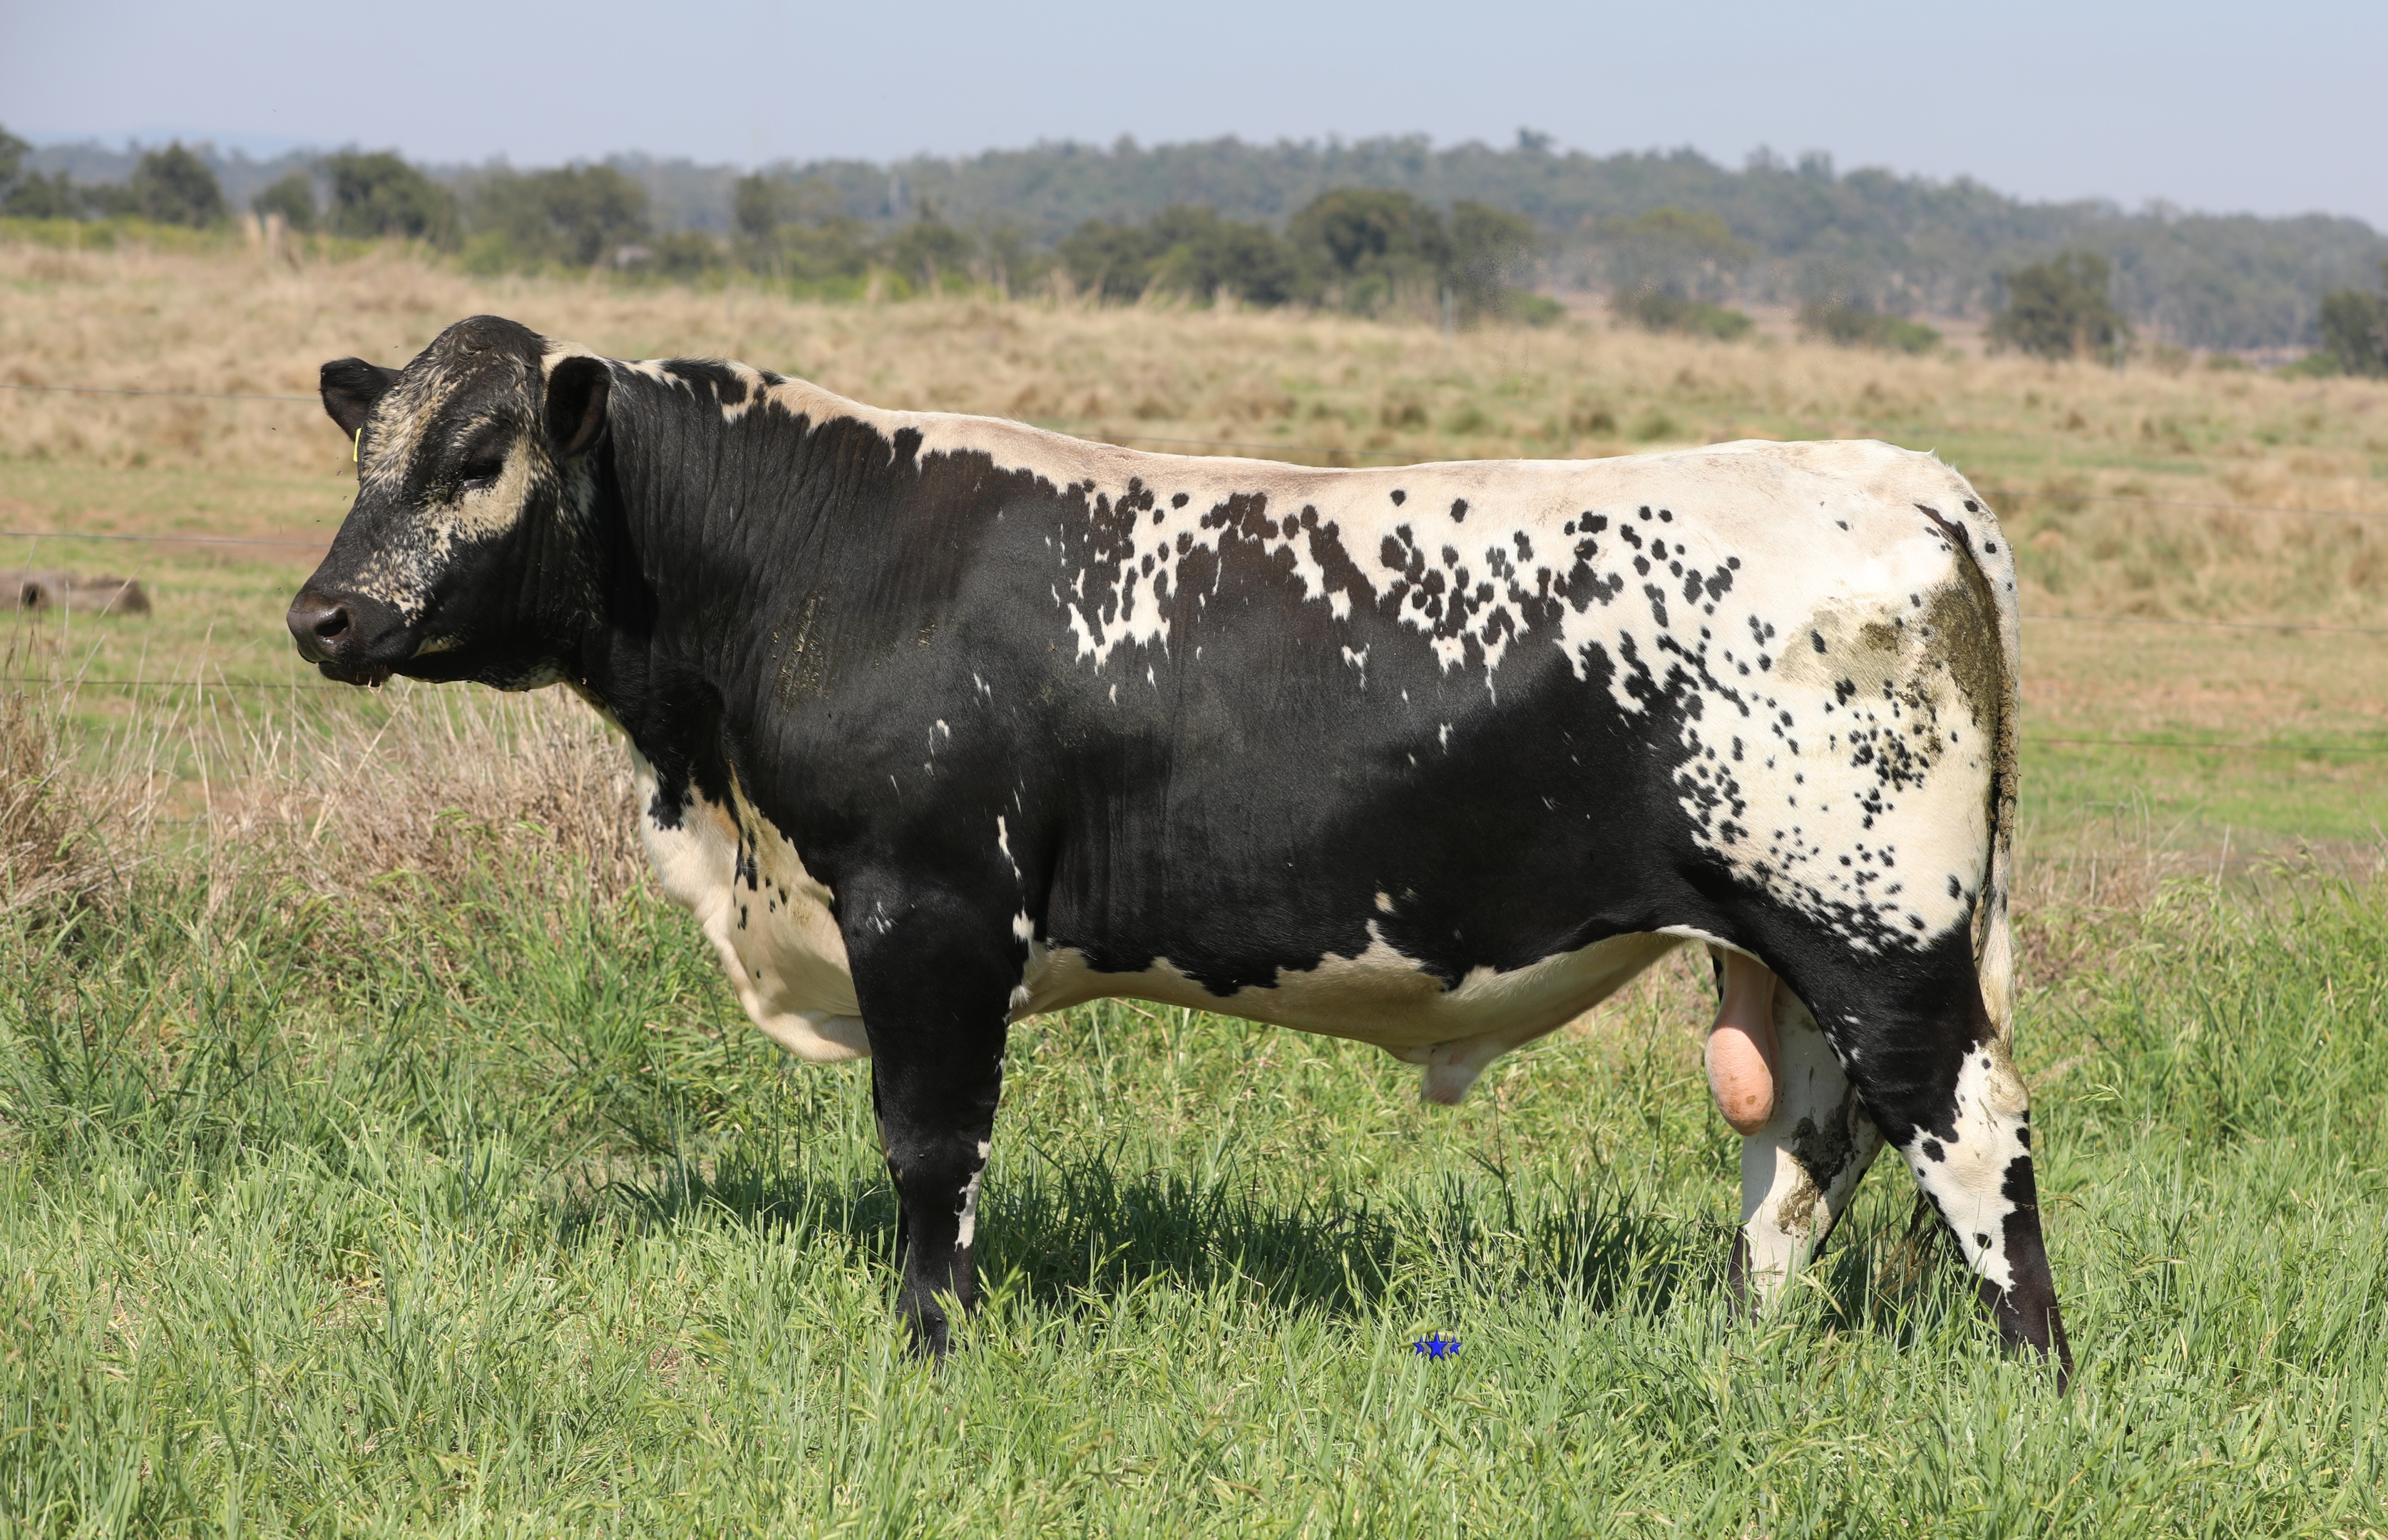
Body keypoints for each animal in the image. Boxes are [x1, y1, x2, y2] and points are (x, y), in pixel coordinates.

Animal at [287, 314, 2069, 1378]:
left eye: (476, 461)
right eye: (367, 458)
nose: (323, 616)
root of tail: (1886, 473)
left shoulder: (933, 909)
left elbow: (931, 1148)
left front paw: (932, 1351)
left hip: (1876, 929)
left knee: (1969, 1131)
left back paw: (2029, 1376)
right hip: (1781, 945)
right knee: (1807, 1151)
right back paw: (1742, 1353)